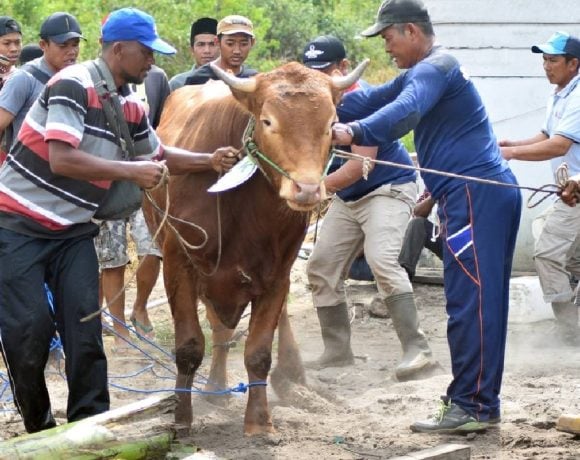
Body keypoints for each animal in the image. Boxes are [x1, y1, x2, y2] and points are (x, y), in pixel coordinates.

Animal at [144, 61, 368, 434]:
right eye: (268, 121)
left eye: (330, 124)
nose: (307, 190)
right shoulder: (180, 264)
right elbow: (190, 347)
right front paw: (181, 418)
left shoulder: (278, 274)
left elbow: (259, 351)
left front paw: (260, 421)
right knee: (219, 331)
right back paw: (215, 389)